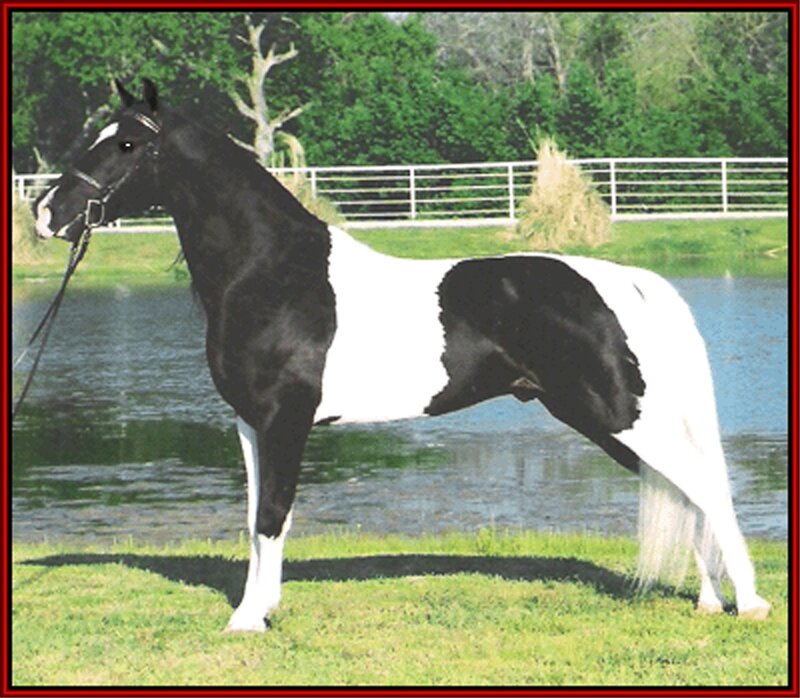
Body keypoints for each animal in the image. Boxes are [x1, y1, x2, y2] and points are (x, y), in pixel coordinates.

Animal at [32, 79, 771, 632]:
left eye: (126, 143)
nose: (45, 213)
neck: (272, 272)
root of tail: (627, 283)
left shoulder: (284, 419)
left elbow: (273, 515)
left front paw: (247, 621)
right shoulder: (250, 423)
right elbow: (256, 518)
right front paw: (260, 607)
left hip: (619, 416)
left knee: (704, 486)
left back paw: (751, 604)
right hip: (605, 421)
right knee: (684, 491)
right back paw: (710, 602)